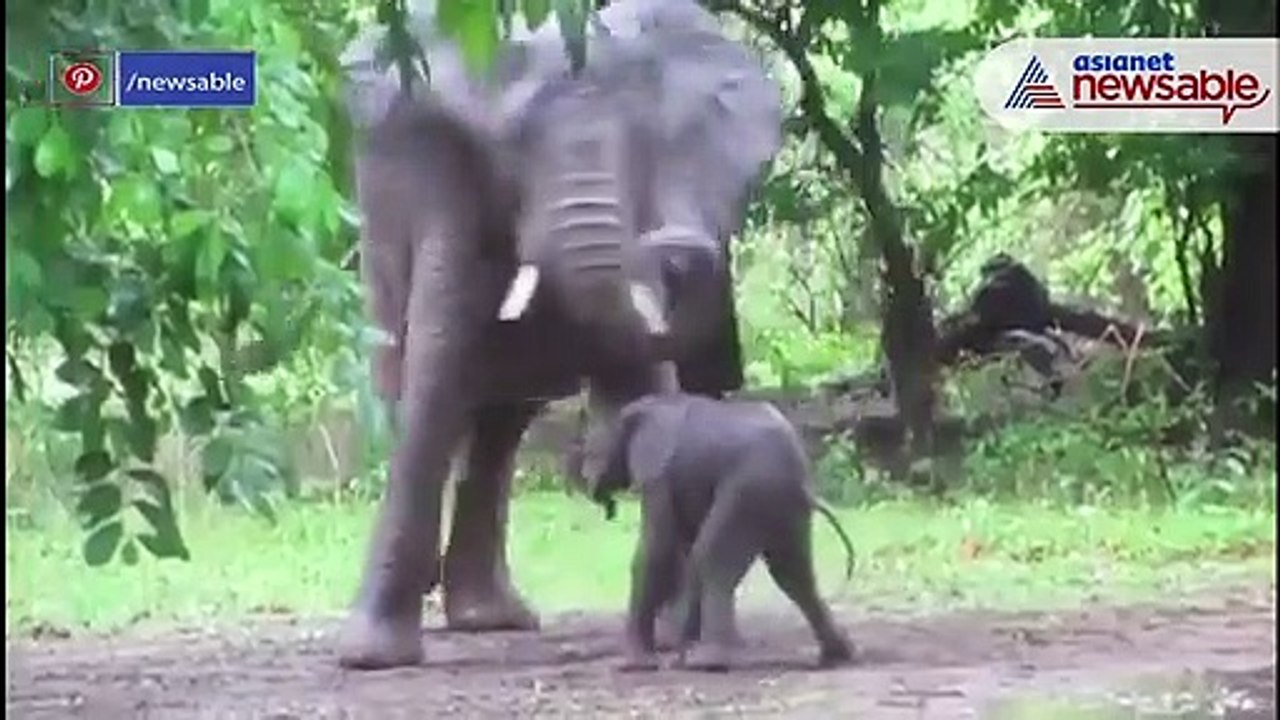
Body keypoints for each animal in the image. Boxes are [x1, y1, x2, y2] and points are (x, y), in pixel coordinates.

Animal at [336, 0, 783, 669]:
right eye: (509, 150)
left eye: (644, 144)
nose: (680, 247)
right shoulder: (444, 176)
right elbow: (435, 383)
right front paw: (371, 657)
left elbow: (647, 388)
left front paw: (672, 634)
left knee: (499, 428)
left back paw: (491, 619)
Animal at [586, 392, 857, 672]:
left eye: (592, 450)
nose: (590, 484)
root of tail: (803, 485)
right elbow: (681, 550)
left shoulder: (656, 472)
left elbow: (659, 549)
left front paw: (637, 665)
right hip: (781, 503)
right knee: (792, 573)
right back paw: (837, 656)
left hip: (749, 491)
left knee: (713, 558)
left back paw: (708, 662)